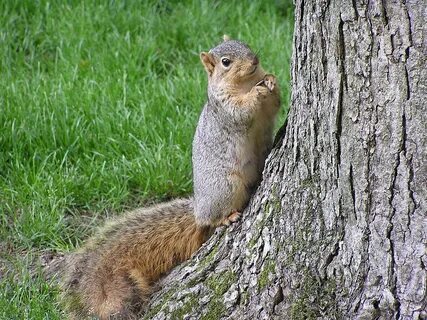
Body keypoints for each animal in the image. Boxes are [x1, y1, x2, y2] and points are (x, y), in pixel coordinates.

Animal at [59, 36, 280, 318]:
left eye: (245, 44)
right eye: (225, 62)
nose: (254, 60)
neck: (246, 82)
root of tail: (198, 210)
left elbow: (275, 103)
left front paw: (271, 80)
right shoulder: (225, 108)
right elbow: (242, 112)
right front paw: (256, 94)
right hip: (226, 186)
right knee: (213, 217)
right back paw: (225, 217)